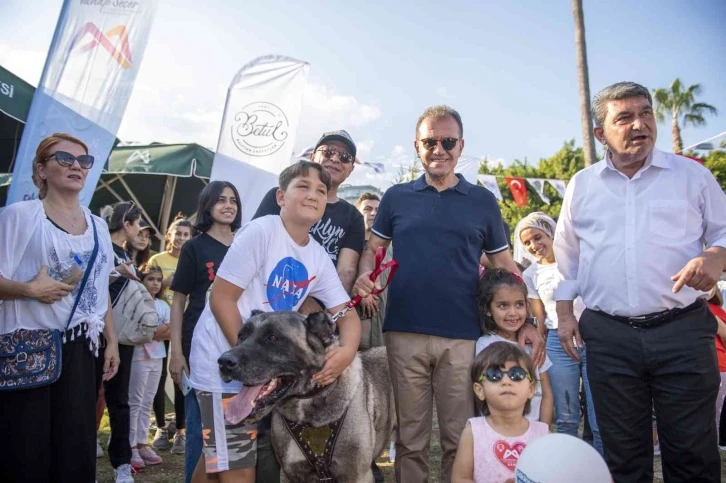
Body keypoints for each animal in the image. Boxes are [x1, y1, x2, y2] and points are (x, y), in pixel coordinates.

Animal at [219, 310, 396, 483]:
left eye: (273, 338)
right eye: (241, 336)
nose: (223, 362)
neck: (305, 403)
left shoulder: (357, 476)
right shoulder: (291, 473)